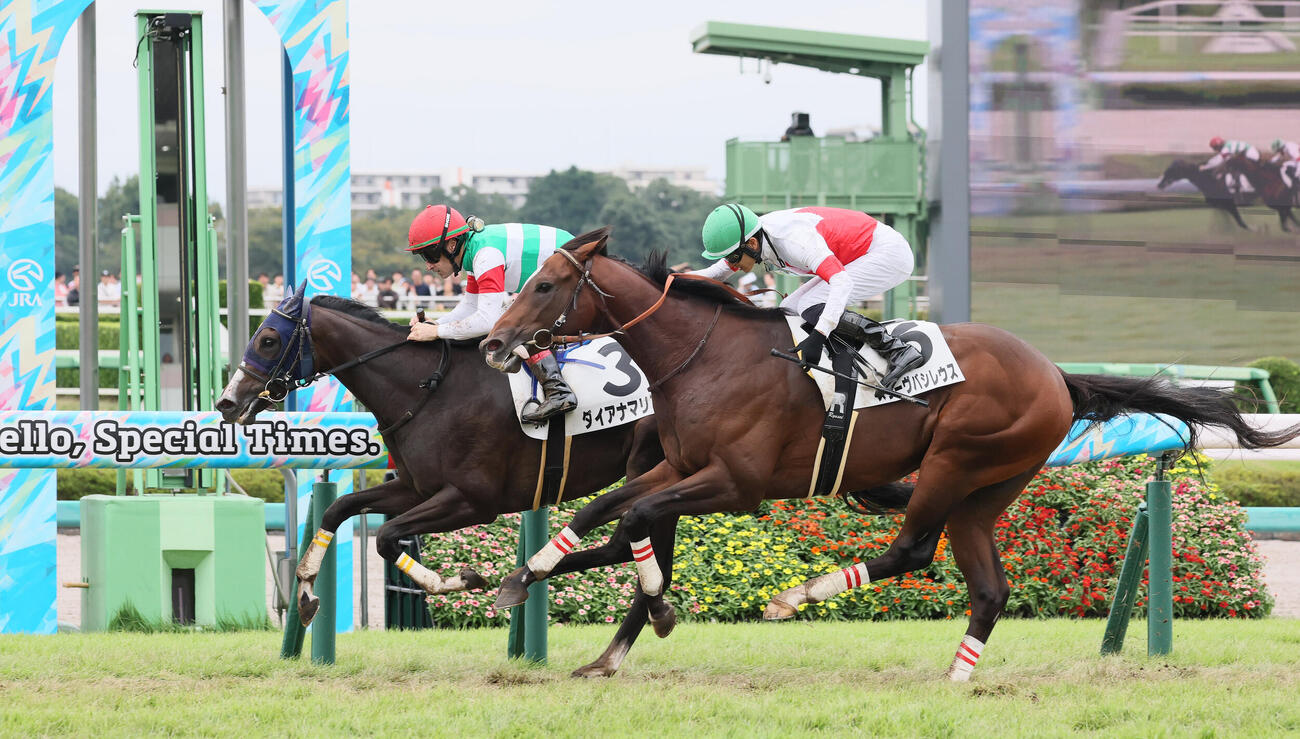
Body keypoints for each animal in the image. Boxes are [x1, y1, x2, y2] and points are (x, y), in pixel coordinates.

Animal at [216, 285, 664, 626]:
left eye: (268, 339)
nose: (227, 402)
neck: (430, 390)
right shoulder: (415, 488)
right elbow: (337, 509)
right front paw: (307, 591)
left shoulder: (472, 501)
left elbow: (386, 535)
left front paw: (462, 581)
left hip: (647, 463)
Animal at [479, 228, 1300, 680]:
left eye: (544, 284)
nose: (492, 344)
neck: (705, 355)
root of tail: (1055, 375)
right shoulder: (678, 465)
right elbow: (603, 509)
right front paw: (524, 576)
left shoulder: (734, 483)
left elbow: (635, 519)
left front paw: (657, 610)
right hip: (987, 487)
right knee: (988, 585)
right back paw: (956, 679)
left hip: (957, 459)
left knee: (913, 548)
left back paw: (796, 597)